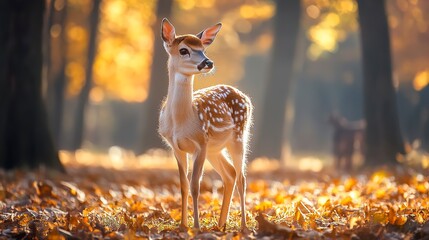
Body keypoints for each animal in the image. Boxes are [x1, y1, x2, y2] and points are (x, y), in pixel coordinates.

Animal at [156, 19, 251, 231]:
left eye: (203, 49)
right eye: (183, 50)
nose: (208, 62)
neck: (181, 121)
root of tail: (246, 97)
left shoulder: (201, 143)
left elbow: (195, 185)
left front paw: (197, 226)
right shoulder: (176, 147)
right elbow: (183, 185)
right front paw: (183, 226)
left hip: (238, 137)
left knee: (241, 178)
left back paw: (243, 226)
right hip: (215, 149)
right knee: (230, 174)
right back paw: (221, 225)